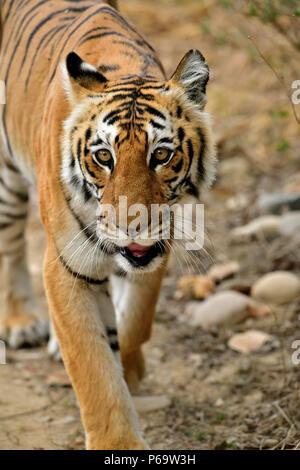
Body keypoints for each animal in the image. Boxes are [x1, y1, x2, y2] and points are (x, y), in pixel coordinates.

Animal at [0, 0, 216, 448]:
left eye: (161, 154)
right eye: (103, 157)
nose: (131, 226)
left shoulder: (156, 248)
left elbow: (134, 320)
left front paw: (130, 370)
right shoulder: (65, 265)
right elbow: (92, 368)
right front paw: (118, 442)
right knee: (9, 239)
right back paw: (20, 322)